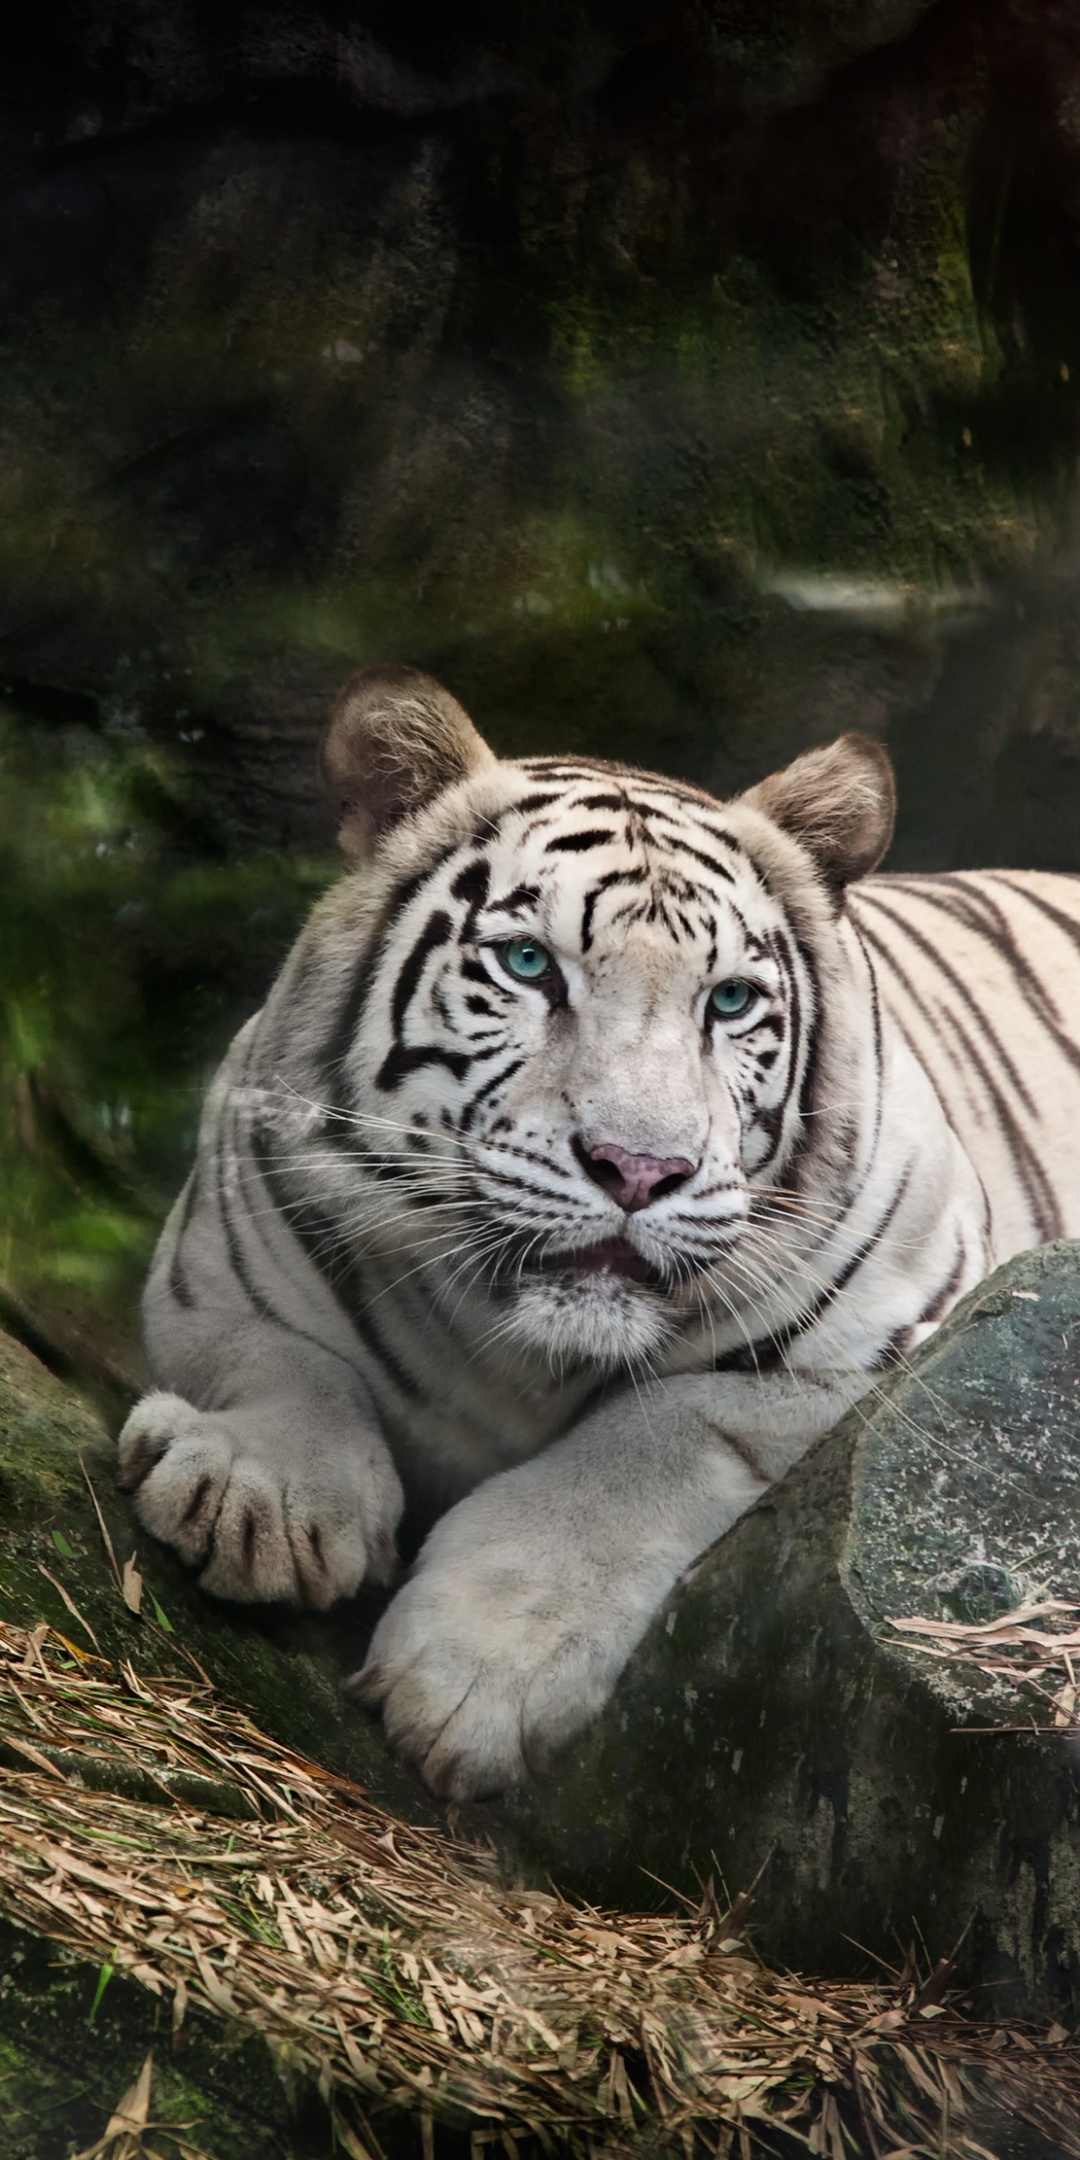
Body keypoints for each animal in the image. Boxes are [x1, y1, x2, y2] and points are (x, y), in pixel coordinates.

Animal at [118, 669, 1080, 1805]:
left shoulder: (895, 1343)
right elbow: (282, 1358)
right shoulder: (218, 1258)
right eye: (529, 964)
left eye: (731, 1000)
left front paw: (474, 1672)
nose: (639, 1169)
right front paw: (256, 1492)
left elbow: (656, 1430)